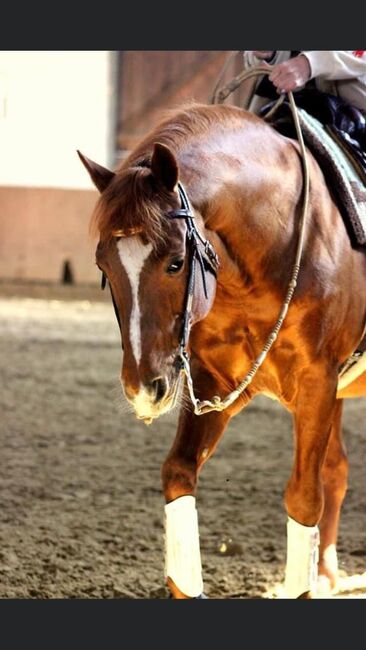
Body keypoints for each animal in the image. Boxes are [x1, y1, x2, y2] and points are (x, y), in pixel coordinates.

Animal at [78, 100, 366, 596]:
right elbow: (178, 473)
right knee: (338, 468)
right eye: (104, 265)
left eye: (176, 262)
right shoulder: (215, 384)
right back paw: (328, 573)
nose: (143, 389)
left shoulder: (317, 385)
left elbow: (303, 498)